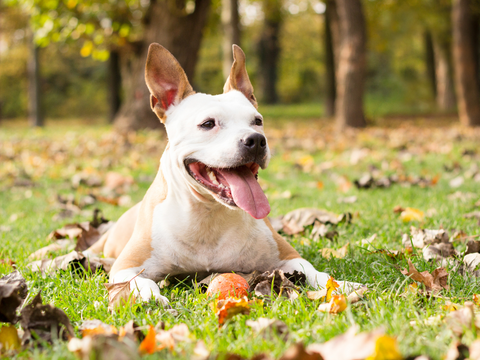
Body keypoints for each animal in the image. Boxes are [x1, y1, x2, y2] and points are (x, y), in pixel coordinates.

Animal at [84, 43, 358, 306]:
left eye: (257, 121)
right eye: (208, 124)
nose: (256, 140)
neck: (209, 213)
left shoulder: (288, 257)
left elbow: (316, 272)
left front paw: (341, 286)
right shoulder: (127, 266)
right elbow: (140, 282)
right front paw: (149, 297)